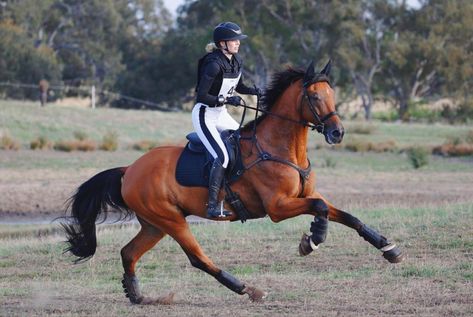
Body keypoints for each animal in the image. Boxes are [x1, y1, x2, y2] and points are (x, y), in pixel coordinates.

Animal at [60, 60, 404, 302]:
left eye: (333, 95)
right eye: (315, 96)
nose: (337, 132)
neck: (280, 148)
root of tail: (129, 169)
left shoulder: (304, 197)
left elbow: (348, 216)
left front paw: (389, 248)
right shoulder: (278, 207)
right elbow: (320, 208)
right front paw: (312, 240)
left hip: (154, 224)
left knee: (129, 253)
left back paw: (137, 296)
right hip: (171, 220)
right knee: (198, 259)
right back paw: (247, 289)